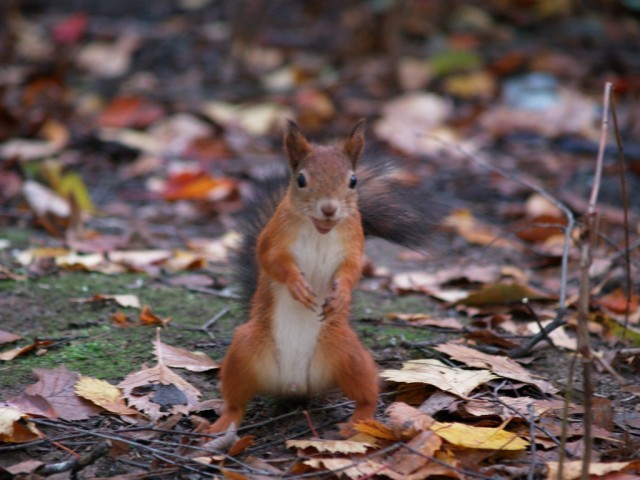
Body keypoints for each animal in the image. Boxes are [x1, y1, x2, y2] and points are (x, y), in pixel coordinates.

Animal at [208, 119, 442, 432]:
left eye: (353, 180)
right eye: (301, 180)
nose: (329, 208)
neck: (320, 230)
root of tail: (293, 385)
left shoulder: (354, 244)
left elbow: (352, 271)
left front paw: (340, 294)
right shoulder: (273, 239)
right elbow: (271, 261)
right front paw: (297, 285)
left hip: (347, 353)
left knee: (366, 392)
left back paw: (360, 421)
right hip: (243, 352)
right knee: (235, 400)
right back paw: (222, 424)